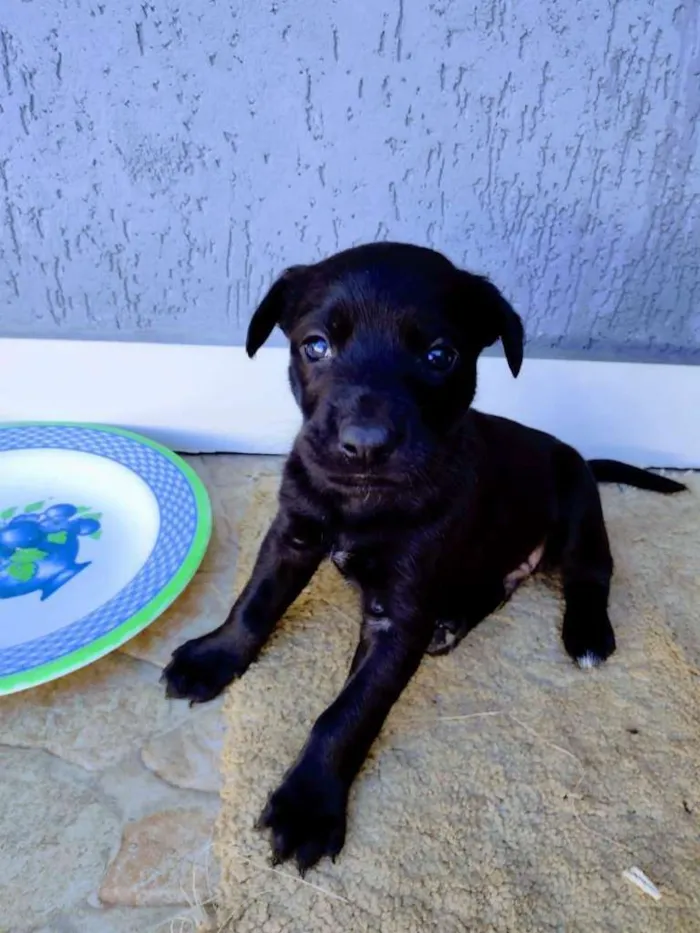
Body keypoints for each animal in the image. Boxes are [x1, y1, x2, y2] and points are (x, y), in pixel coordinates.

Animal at [163, 240, 684, 872]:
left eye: (440, 355)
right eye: (316, 345)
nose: (364, 445)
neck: (362, 501)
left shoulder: (399, 613)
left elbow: (348, 711)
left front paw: (309, 804)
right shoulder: (292, 534)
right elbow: (254, 602)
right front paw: (213, 656)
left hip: (579, 511)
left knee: (592, 574)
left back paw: (584, 633)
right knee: (497, 586)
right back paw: (452, 622)